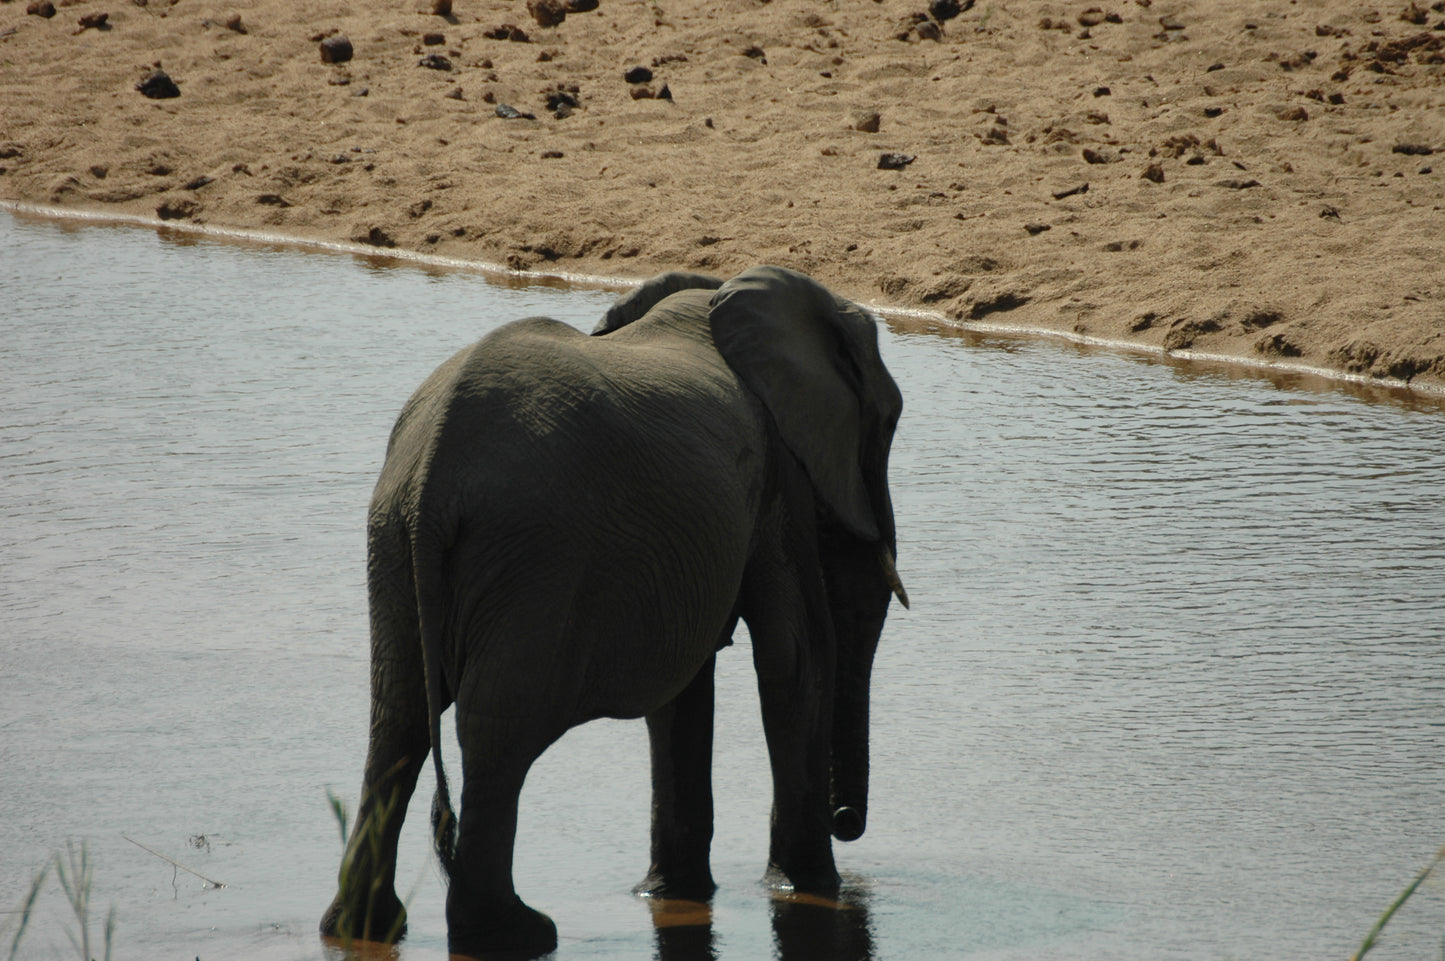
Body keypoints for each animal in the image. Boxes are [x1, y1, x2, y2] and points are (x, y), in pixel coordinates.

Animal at [319, 264, 901, 959]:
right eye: (890, 420)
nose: (847, 822)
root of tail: (434, 471)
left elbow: (689, 687)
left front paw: (676, 894)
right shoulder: (778, 471)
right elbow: (796, 659)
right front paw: (812, 892)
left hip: (396, 542)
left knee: (398, 718)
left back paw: (365, 928)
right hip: (535, 556)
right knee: (496, 732)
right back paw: (515, 933)